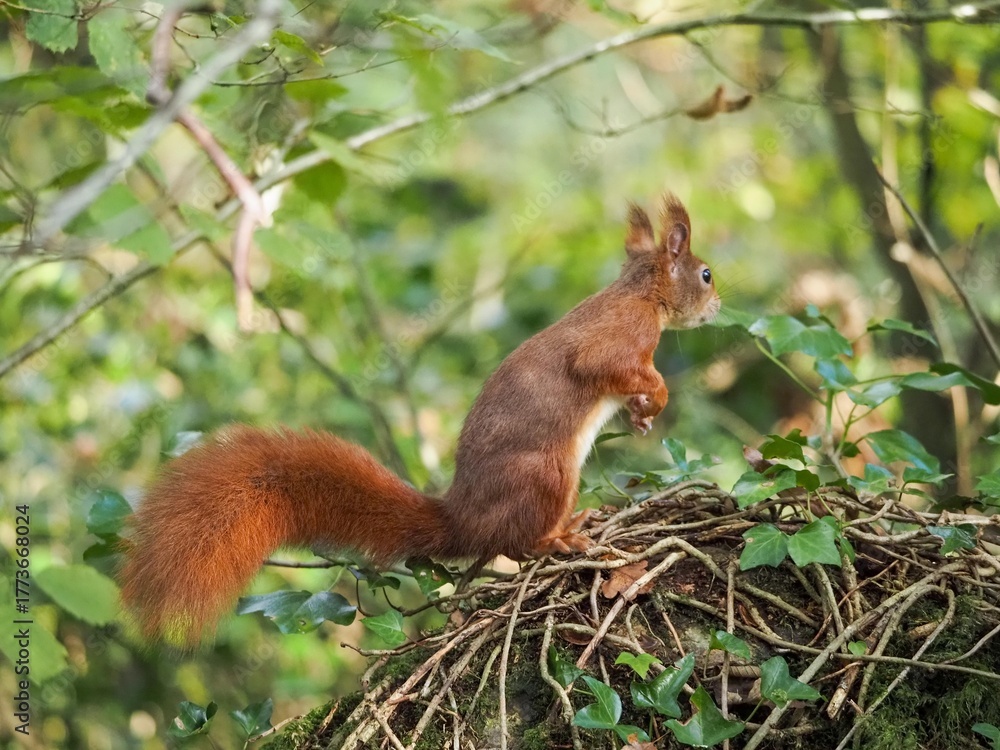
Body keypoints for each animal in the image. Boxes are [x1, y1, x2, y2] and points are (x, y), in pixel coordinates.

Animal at [118, 193, 720, 646]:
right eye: (706, 274)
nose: (718, 308)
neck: (642, 293)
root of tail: (463, 518)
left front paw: (642, 417)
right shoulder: (620, 337)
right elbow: (605, 367)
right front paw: (657, 396)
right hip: (546, 474)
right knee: (515, 543)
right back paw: (561, 539)